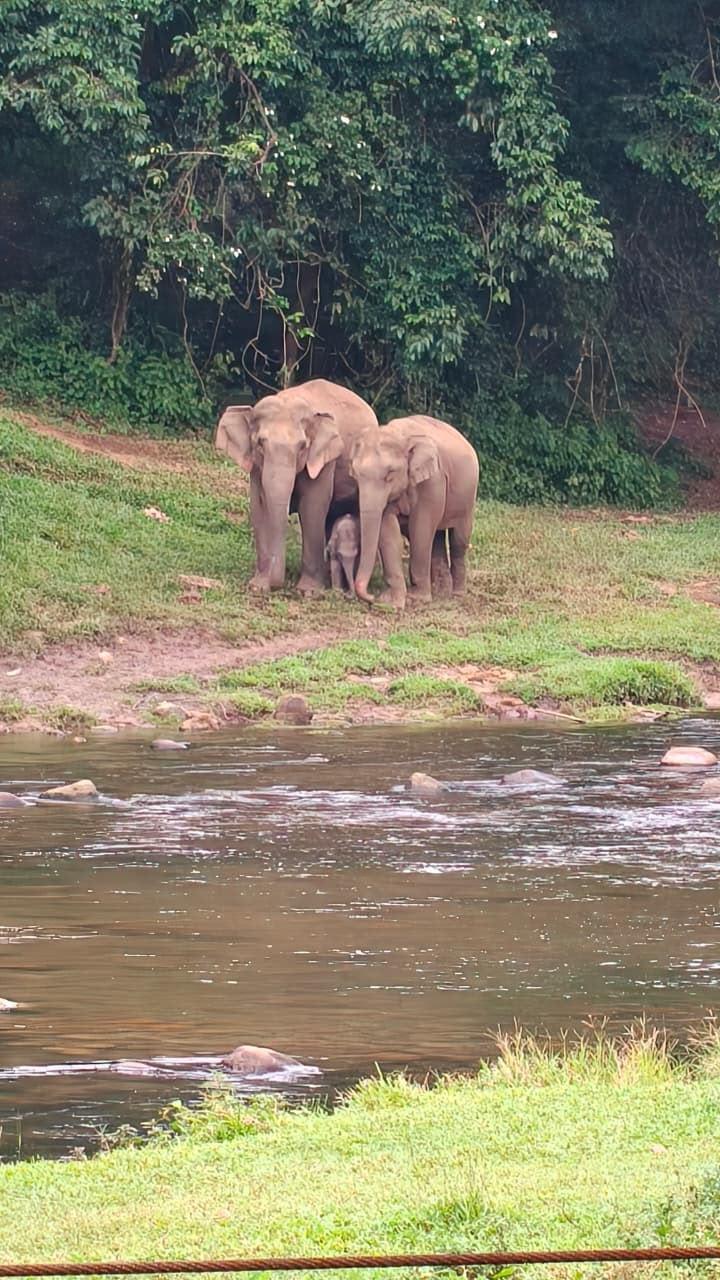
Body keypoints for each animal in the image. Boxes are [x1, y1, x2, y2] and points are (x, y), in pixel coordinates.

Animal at [214, 379, 377, 594]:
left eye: (302, 446)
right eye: (260, 444)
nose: (276, 583)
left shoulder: (324, 460)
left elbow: (312, 506)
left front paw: (308, 591)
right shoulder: (256, 466)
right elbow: (259, 506)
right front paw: (258, 586)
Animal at [349, 415, 479, 609]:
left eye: (390, 473)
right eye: (355, 475)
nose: (372, 597)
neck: (401, 435)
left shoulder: (433, 480)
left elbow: (421, 528)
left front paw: (415, 599)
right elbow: (389, 531)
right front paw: (391, 601)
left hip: (468, 500)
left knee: (458, 541)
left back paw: (456, 594)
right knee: (437, 539)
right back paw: (441, 593)